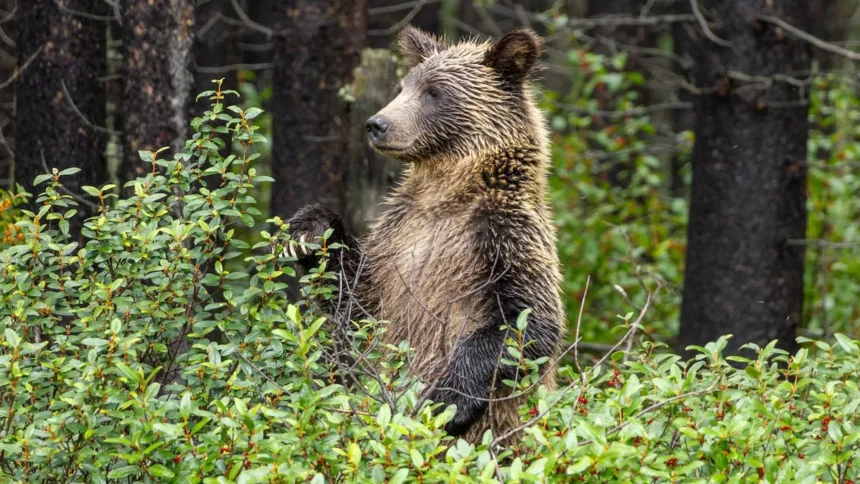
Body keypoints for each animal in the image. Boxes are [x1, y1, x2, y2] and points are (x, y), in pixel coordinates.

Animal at [285, 25, 564, 444]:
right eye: (404, 86)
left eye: (434, 91)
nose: (377, 124)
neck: (446, 195)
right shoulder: (397, 236)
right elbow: (359, 302)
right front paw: (309, 229)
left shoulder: (502, 233)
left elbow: (529, 321)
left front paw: (445, 403)